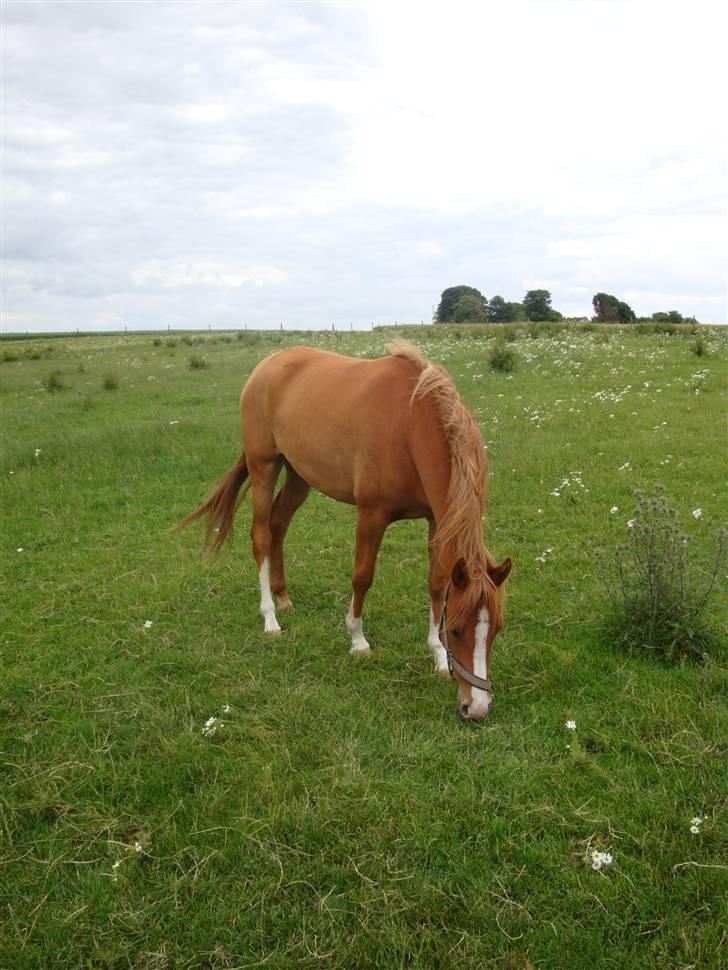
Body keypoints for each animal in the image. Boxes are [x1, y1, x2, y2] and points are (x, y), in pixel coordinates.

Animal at [181, 340, 512, 720]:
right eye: (457, 631)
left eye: (497, 629)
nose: (477, 707)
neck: (408, 425)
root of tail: (267, 365)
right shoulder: (371, 515)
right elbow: (362, 577)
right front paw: (357, 640)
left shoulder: (436, 520)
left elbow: (437, 583)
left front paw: (438, 657)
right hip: (263, 465)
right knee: (262, 535)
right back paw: (270, 618)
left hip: (299, 474)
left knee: (279, 525)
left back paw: (283, 597)